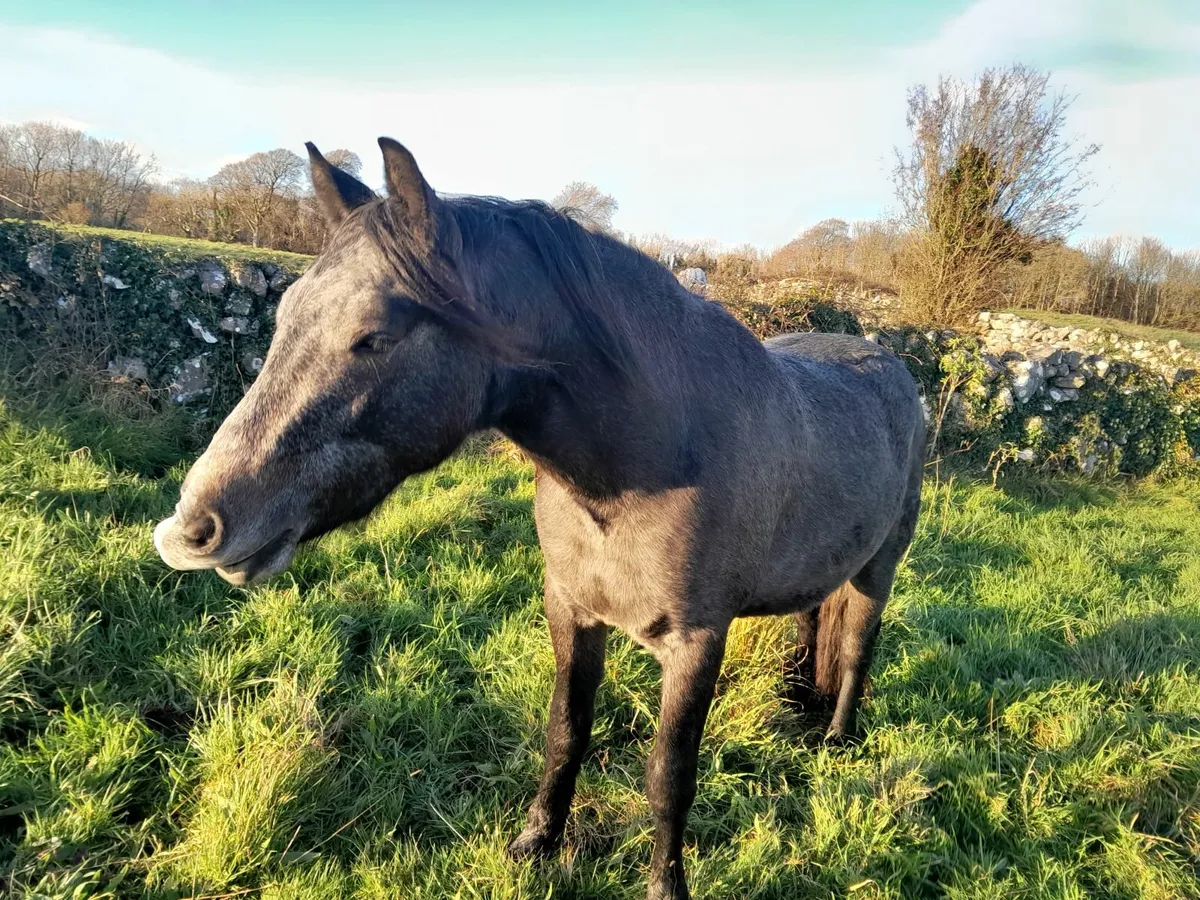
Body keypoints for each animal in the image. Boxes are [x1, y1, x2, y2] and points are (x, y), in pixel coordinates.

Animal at [155, 138, 925, 900]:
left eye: (373, 336)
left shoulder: (697, 644)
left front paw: (663, 886)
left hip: (879, 571)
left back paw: (837, 738)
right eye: (284, 313)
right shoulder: (571, 611)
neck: (645, 463)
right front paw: (536, 842)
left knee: (856, 647)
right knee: (811, 619)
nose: (195, 527)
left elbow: (668, 776)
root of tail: (891, 365)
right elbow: (565, 733)